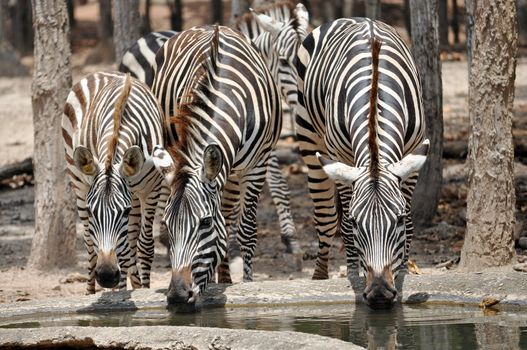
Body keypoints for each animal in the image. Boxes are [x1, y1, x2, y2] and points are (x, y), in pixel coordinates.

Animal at [62, 72, 168, 294]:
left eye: (124, 211)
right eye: (93, 211)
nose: (106, 276)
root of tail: (99, 73)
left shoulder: (151, 190)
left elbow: (144, 246)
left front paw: (143, 289)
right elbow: (120, 249)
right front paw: (118, 292)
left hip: (135, 194)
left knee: (132, 241)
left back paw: (135, 284)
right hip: (78, 182)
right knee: (90, 244)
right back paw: (92, 291)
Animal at [151, 24, 282, 304]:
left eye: (205, 223)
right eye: (167, 224)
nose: (178, 296)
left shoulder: (258, 165)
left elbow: (246, 230)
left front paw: (247, 282)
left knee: (230, 214)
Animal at [296, 18, 428, 308]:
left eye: (397, 220)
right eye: (358, 223)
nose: (379, 294)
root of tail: (353, 18)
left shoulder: (413, 154)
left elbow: (411, 222)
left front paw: (403, 269)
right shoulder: (341, 157)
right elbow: (344, 224)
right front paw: (354, 274)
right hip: (309, 137)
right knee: (326, 217)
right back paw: (320, 276)